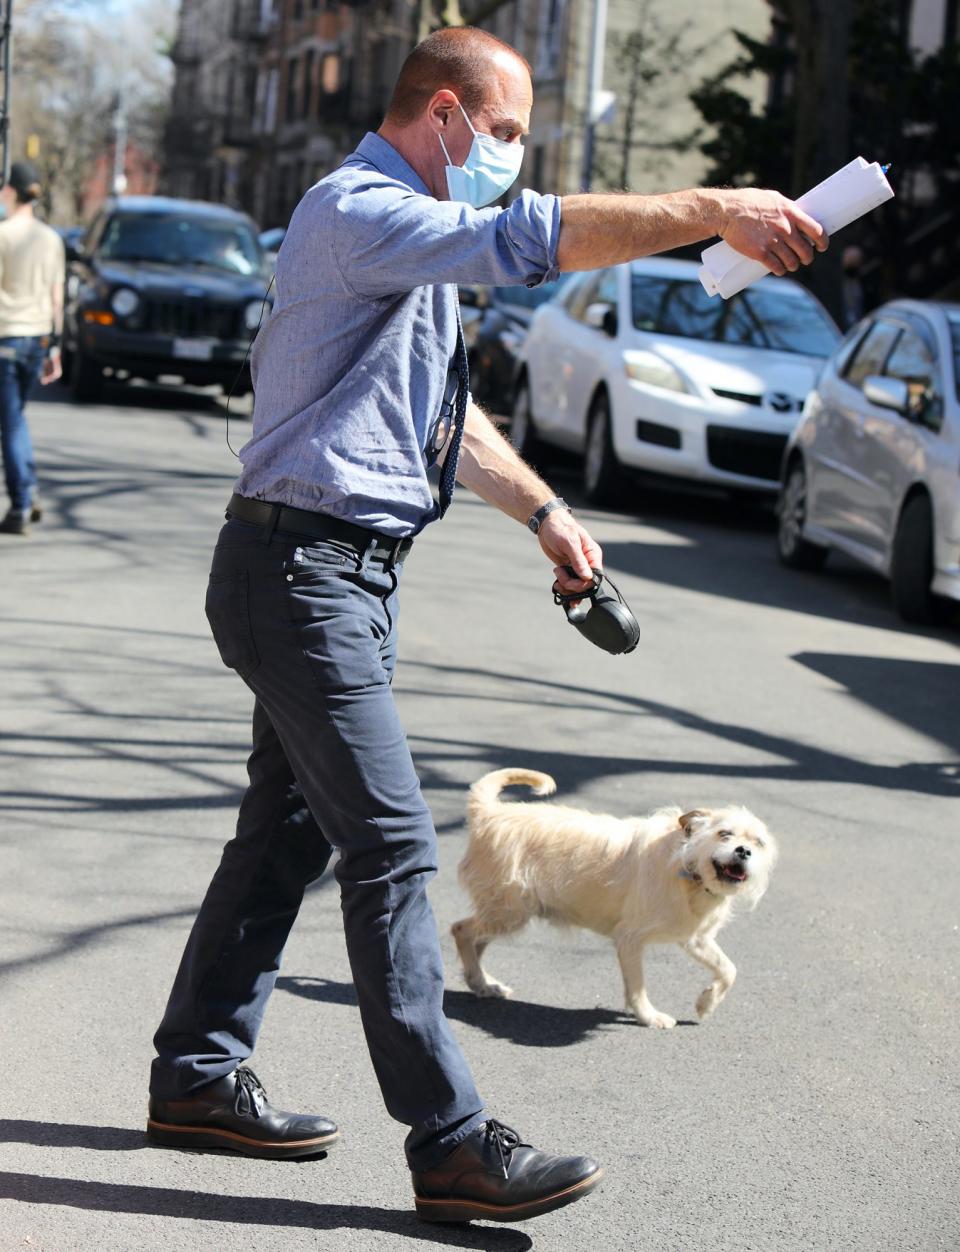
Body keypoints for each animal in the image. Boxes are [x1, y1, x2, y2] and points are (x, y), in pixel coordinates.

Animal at [455, 766, 776, 1031]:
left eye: (758, 843)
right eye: (725, 833)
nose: (743, 851)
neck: (689, 870)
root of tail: (490, 812)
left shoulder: (695, 938)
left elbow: (728, 969)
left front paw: (706, 1003)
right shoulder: (630, 939)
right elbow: (637, 986)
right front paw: (649, 1016)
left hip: (503, 914)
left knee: (476, 941)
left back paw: (483, 983)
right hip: (508, 912)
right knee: (461, 931)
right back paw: (479, 979)